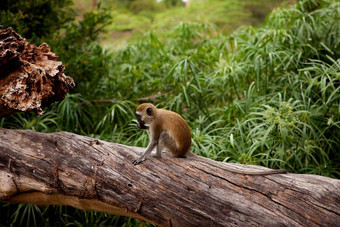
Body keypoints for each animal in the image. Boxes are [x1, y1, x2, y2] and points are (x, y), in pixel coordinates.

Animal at [131, 103, 288, 176]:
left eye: (139, 116)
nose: (138, 123)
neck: (155, 114)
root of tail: (185, 150)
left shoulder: (156, 124)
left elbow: (154, 140)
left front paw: (142, 157)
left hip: (174, 148)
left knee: (163, 135)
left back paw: (157, 155)